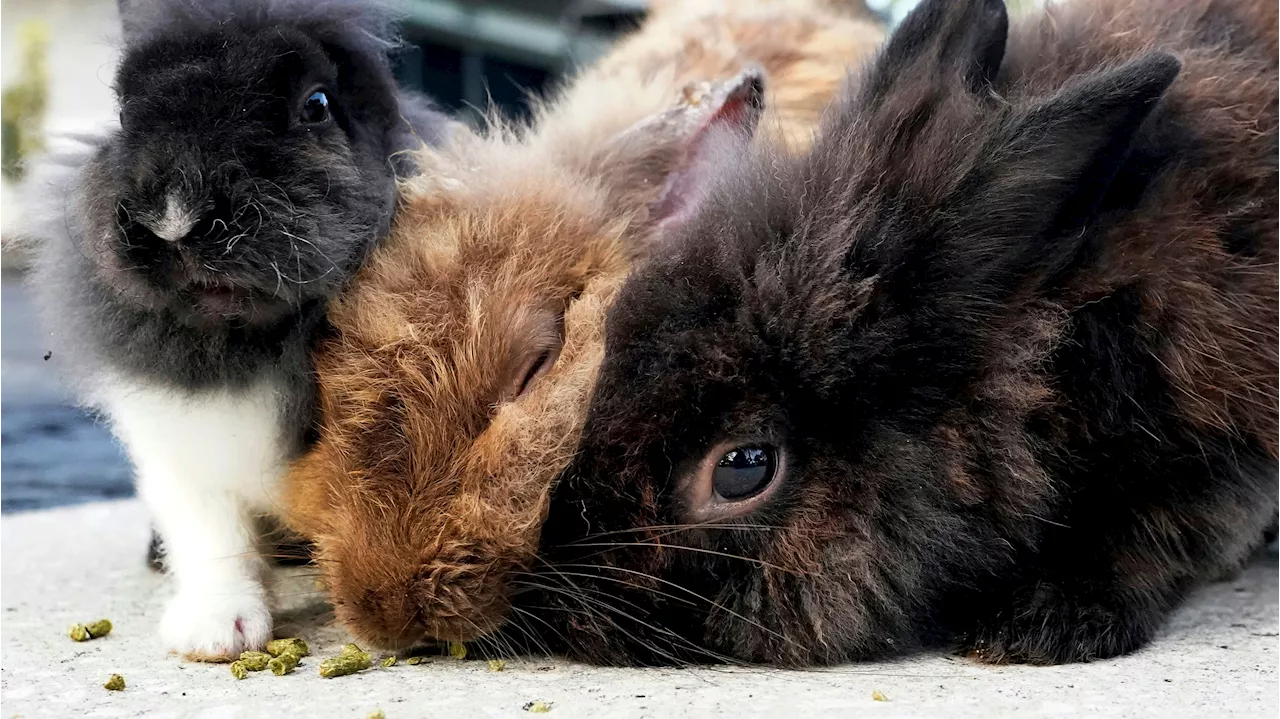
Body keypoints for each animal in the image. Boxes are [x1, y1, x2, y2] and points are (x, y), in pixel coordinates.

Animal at [21, 0, 450, 660]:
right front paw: (218, 631)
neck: (257, 339)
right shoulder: (182, 454)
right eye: (123, 112)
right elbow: (213, 538)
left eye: (316, 105)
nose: (173, 220)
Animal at [512, 0, 1280, 665]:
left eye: (743, 466)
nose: (549, 590)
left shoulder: (1218, 452)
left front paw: (1038, 627)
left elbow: (1158, 537)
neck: (1054, 344)